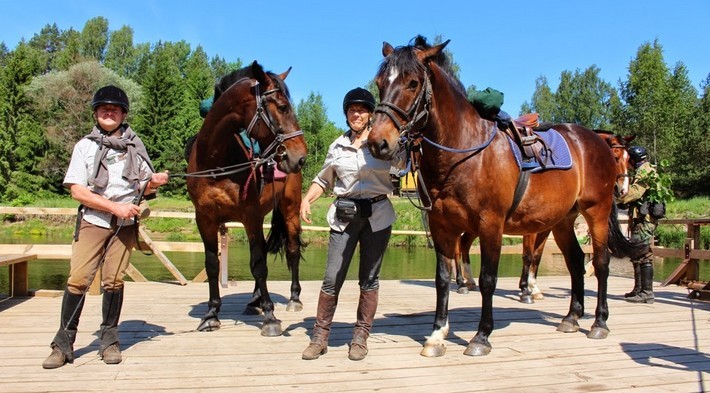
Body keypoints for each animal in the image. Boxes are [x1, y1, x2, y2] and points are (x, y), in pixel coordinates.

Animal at [186, 60, 306, 334]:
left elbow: (259, 265)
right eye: (282, 107)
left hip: (290, 210)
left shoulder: (250, 217)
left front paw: (271, 317)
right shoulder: (205, 218)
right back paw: (255, 301)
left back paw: (293, 298)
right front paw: (211, 314)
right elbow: (213, 264)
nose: (300, 156)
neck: (215, 161)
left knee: (293, 250)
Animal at [370, 36, 648, 356]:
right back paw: (571, 317)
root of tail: (592, 140)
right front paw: (437, 335)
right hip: (564, 221)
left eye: (413, 82)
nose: (378, 142)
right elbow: (442, 279)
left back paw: (599, 322)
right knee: (576, 261)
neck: (465, 153)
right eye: (380, 82)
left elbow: (488, 279)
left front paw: (481, 336)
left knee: (601, 262)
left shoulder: (491, 225)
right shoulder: (442, 227)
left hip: (596, 212)